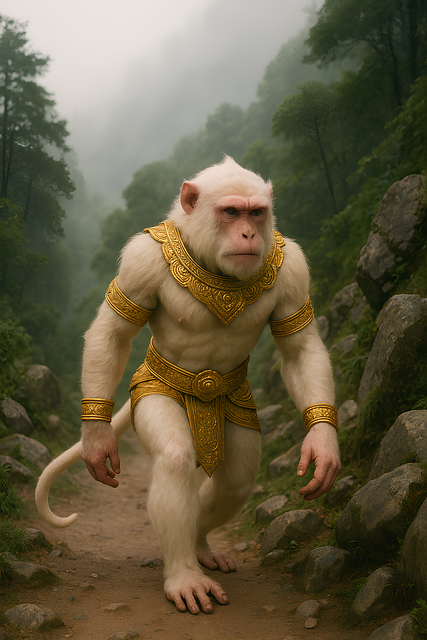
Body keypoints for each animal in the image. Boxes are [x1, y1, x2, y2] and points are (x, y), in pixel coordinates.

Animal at [36, 156, 341, 616]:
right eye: (231, 213)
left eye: (256, 213)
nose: (249, 234)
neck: (213, 265)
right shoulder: (140, 261)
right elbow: (114, 332)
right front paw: (96, 439)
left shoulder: (294, 269)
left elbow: (299, 346)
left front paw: (322, 442)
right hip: (152, 392)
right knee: (178, 460)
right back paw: (184, 574)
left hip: (240, 413)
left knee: (235, 481)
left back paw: (198, 544)